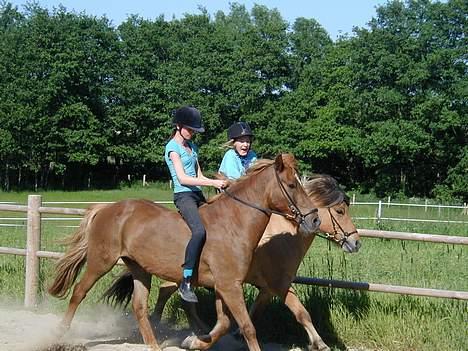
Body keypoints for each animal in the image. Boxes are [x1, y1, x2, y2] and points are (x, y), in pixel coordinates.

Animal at [47, 155, 320, 351]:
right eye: (292, 185)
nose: (315, 219)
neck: (234, 223)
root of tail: (106, 208)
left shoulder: (224, 286)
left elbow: (224, 324)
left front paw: (195, 341)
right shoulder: (230, 286)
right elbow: (247, 327)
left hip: (139, 268)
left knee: (139, 306)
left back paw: (154, 346)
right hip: (100, 262)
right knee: (78, 293)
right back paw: (58, 335)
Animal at [106, 175, 362, 351]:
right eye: (340, 211)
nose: (356, 242)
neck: (285, 237)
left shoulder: (266, 289)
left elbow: (253, 312)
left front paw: (231, 335)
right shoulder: (279, 285)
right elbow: (302, 313)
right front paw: (321, 343)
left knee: (173, 294)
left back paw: (191, 329)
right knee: (168, 291)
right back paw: (164, 327)